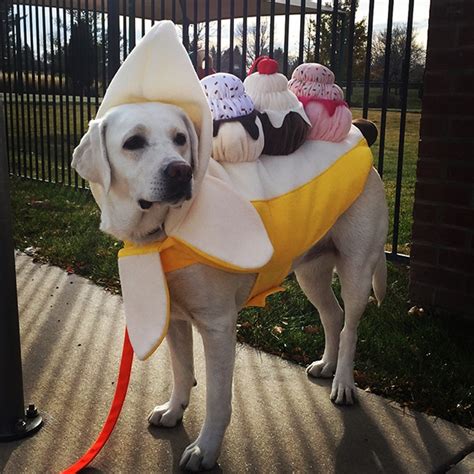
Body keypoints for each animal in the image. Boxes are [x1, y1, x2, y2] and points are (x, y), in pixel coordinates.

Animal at [71, 101, 388, 470]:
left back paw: (344, 383)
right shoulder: (175, 319)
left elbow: (217, 396)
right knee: (332, 316)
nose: (180, 171)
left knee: (350, 326)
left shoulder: (218, 325)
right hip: (311, 272)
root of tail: (361, 143)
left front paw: (205, 449)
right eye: (133, 142)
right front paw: (174, 409)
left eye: (180, 139)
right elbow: (182, 370)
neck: (162, 235)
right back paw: (327, 365)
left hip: (357, 269)